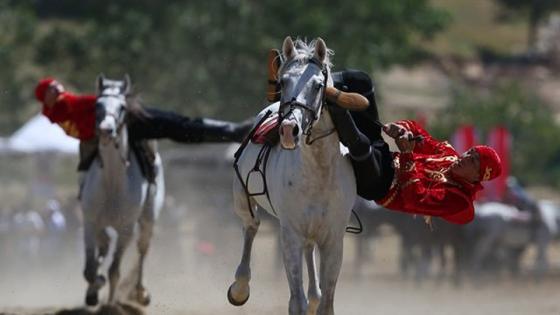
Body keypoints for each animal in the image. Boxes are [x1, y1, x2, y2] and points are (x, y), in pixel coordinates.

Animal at [80, 75, 165, 308]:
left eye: (122, 107)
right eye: (97, 105)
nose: (106, 130)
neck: (112, 183)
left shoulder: (126, 230)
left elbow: (114, 271)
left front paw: (110, 305)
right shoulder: (90, 223)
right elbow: (90, 269)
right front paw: (94, 290)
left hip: (147, 221)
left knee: (142, 250)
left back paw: (140, 293)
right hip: (101, 226)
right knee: (103, 247)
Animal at [226, 37, 354, 315]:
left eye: (318, 85)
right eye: (283, 81)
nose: (287, 130)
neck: (318, 173)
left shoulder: (333, 239)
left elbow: (327, 302)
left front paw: (319, 300)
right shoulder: (290, 234)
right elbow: (297, 301)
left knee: (310, 255)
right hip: (242, 198)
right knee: (251, 226)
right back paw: (240, 286)